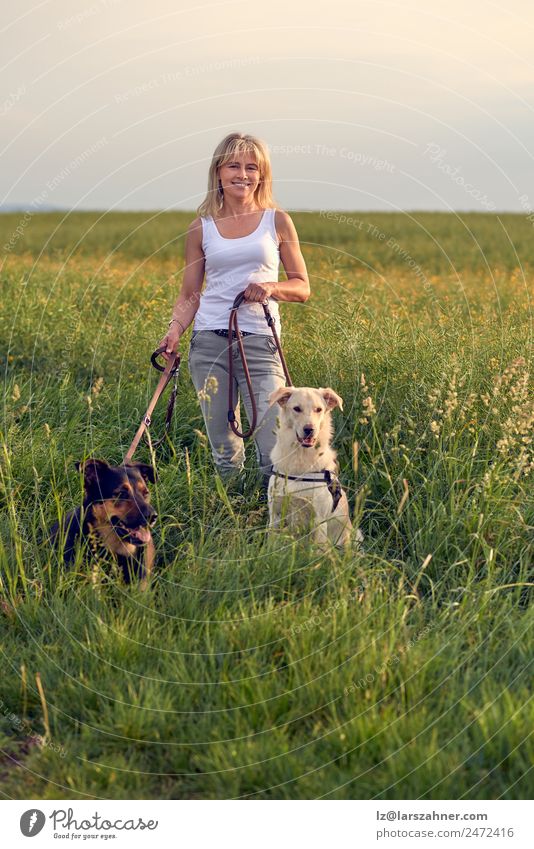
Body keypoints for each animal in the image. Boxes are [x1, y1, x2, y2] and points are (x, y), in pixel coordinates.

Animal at [270, 386, 362, 548]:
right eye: (297, 408)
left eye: (318, 409)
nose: (309, 429)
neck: (300, 460)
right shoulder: (274, 514)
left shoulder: (319, 520)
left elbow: (317, 550)